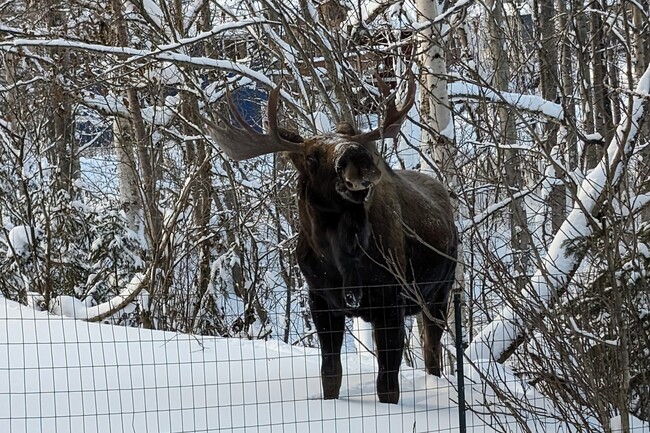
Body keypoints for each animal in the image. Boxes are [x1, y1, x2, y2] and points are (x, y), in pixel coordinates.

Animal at [206, 74, 456, 402]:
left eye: (360, 142)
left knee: (432, 350)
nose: (357, 157)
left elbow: (387, 384)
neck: (342, 257)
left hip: (440, 292)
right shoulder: (321, 300)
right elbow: (330, 375)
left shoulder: (390, 302)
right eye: (312, 156)